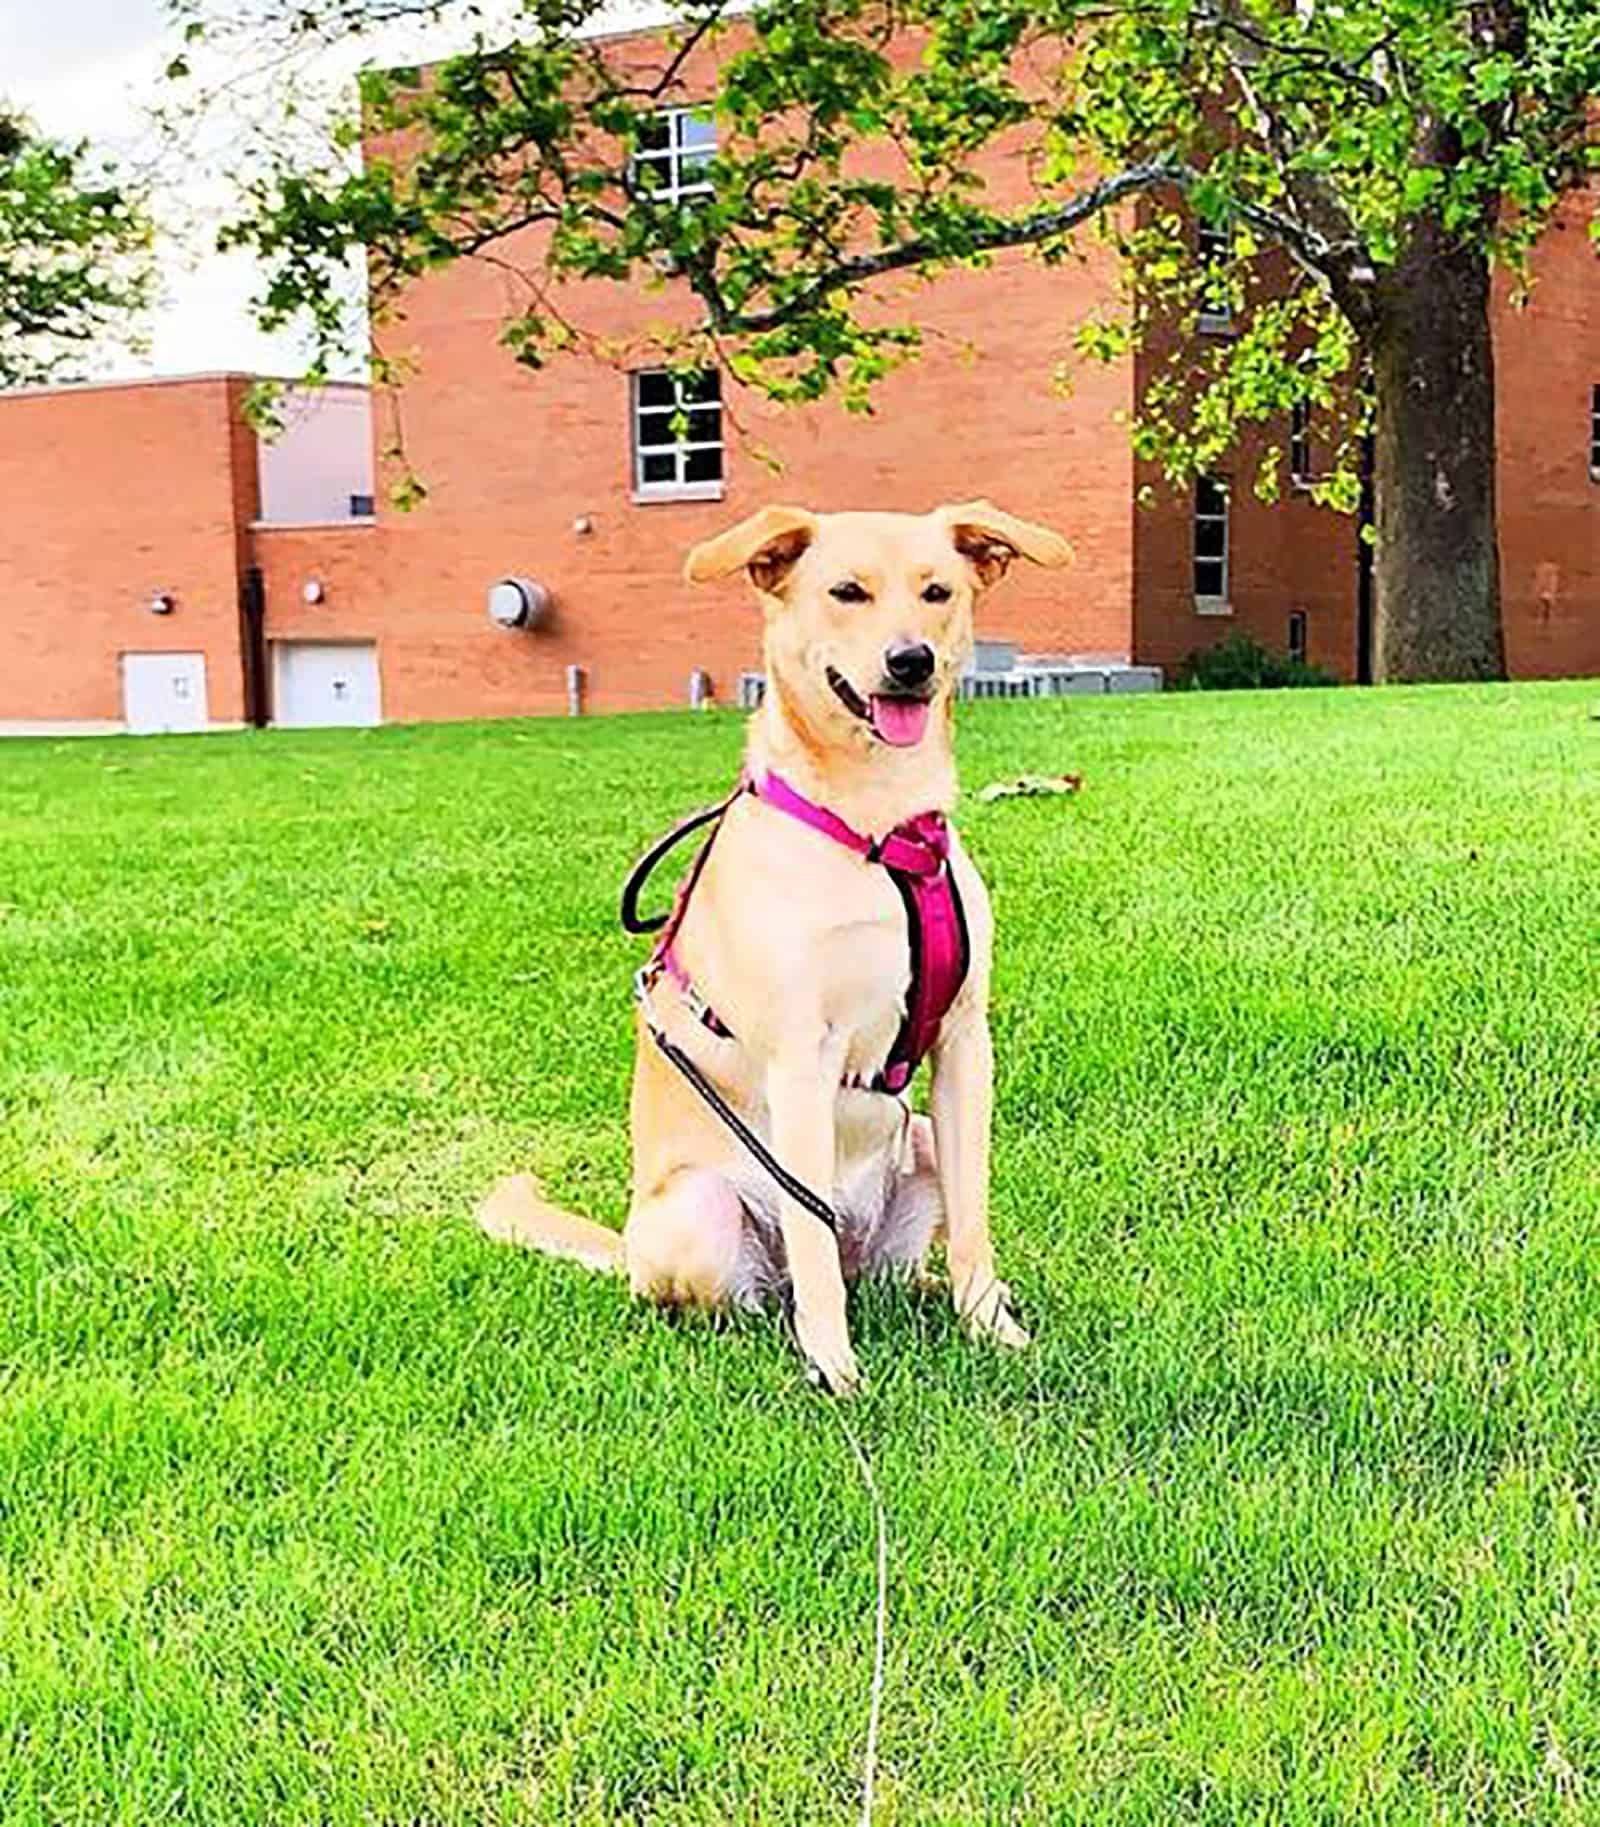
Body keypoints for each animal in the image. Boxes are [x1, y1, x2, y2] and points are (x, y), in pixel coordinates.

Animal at [474, 500, 1073, 1381]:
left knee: (881, 1269)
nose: (911, 661)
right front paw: (835, 1372)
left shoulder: (965, 1042)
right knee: (766, 1286)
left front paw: (991, 1325)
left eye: (937, 592)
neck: (883, 827)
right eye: (846, 592)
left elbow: (974, 1219)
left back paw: (931, 1293)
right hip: (702, 1208)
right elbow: (809, 1227)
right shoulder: (800, 1059)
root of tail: (625, 1247)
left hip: (918, 1139)